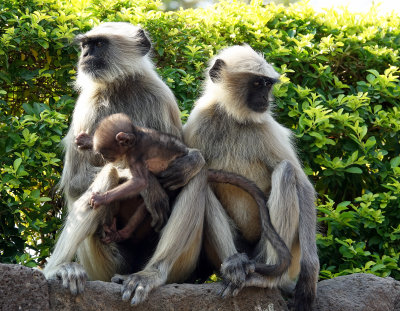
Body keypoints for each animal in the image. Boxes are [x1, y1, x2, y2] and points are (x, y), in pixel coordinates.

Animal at [76, 112, 187, 244]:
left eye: (105, 153)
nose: (103, 157)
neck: (136, 137)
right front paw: (87, 141)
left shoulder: (135, 155)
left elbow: (140, 182)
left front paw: (101, 198)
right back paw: (120, 235)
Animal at [184, 44, 318, 311]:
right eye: (257, 84)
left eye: (268, 85)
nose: (266, 99)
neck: (233, 117)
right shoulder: (197, 122)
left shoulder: (266, 128)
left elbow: (304, 186)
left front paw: (309, 275)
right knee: (203, 180)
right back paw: (236, 265)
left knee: (286, 173)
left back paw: (269, 279)